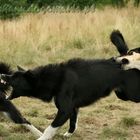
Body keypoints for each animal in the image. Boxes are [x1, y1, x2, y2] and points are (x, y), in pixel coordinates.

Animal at [0, 57, 128, 139]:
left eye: (15, 78)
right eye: (12, 74)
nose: (2, 74)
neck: (53, 80)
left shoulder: (64, 110)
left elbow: (50, 129)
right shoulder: (72, 108)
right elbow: (73, 122)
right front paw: (69, 134)